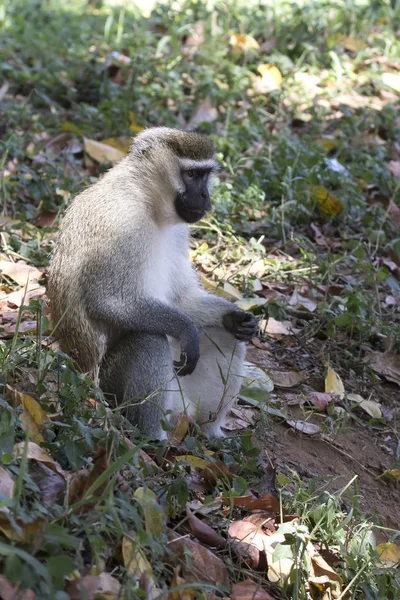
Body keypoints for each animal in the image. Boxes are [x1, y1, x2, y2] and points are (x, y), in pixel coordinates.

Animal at [48, 126, 258, 438]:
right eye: (191, 175)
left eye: (205, 174)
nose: (205, 194)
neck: (147, 201)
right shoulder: (121, 223)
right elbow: (107, 301)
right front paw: (186, 330)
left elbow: (182, 298)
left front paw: (235, 316)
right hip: (110, 389)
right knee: (150, 339)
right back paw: (151, 437)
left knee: (227, 338)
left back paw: (210, 432)